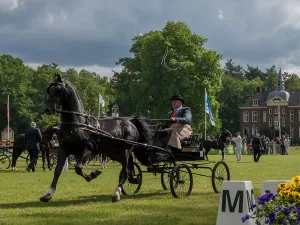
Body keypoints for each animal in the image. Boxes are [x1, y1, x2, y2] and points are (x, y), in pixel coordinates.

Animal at [40, 73, 152, 202]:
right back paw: (132, 180)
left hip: (125, 151)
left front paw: (93, 174)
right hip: (113, 153)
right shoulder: (63, 150)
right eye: (49, 90)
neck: (77, 124)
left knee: (125, 170)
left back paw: (117, 193)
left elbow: (78, 168)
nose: (47, 109)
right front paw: (48, 194)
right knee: (129, 166)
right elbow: (57, 170)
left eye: (58, 90)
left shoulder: (88, 149)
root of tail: (130, 122)